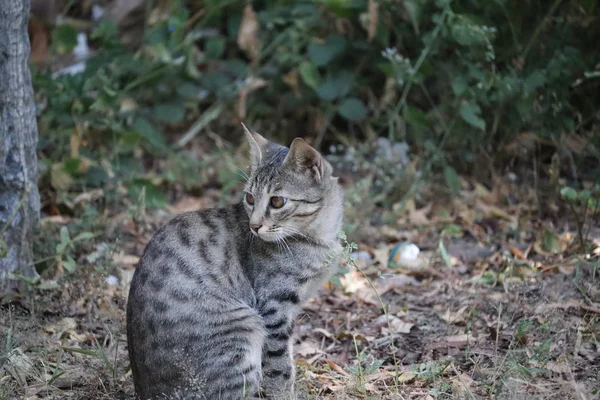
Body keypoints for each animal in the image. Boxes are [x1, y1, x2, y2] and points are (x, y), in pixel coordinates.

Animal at [126, 125, 342, 400]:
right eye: (250, 198)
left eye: (277, 201)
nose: (254, 225)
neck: (319, 237)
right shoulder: (274, 309)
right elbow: (280, 367)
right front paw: (284, 394)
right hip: (243, 330)